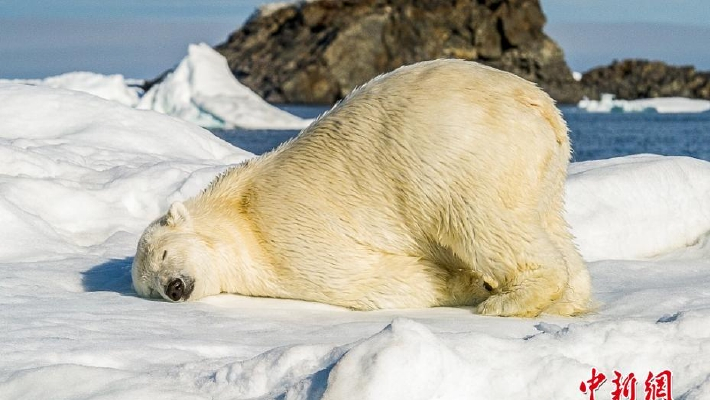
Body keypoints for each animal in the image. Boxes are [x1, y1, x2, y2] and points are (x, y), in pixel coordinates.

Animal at [132, 59, 592, 317]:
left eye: (165, 254)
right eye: (150, 288)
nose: (174, 288)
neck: (236, 209)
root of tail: (539, 104)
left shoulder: (282, 236)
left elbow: (369, 279)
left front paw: (469, 286)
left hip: (461, 162)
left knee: (482, 223)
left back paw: (508, 300)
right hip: (537, 166)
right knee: (548, 221)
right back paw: (570, 300)